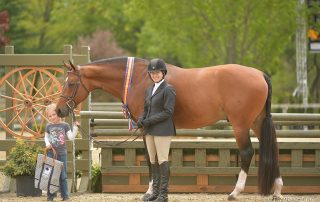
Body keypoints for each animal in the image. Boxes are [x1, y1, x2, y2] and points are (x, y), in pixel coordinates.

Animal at [55, 56, 282, 200]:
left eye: (71, 83)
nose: (59, 110)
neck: (139, 79)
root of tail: (260, 74)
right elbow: (154, 159)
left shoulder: (146, 127)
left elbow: (150, 159)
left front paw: (149, 192)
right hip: (257, 121)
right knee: (272, 150)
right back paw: (277, 191)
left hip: (240, 124)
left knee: (247, 152)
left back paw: (235, 192)